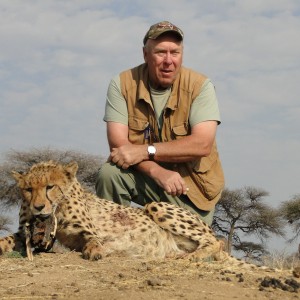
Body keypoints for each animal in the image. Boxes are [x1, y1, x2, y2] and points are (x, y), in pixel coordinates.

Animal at [0, 161, 236, 264]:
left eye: (50, 187)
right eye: (29, 190)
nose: (38, 207)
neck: (57, 210)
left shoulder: (89, 231)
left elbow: (93, 240)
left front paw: (95, 251)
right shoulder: (27, 231)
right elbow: (9, 238)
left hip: (155, 206)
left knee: (215, 241)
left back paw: (192, 256)